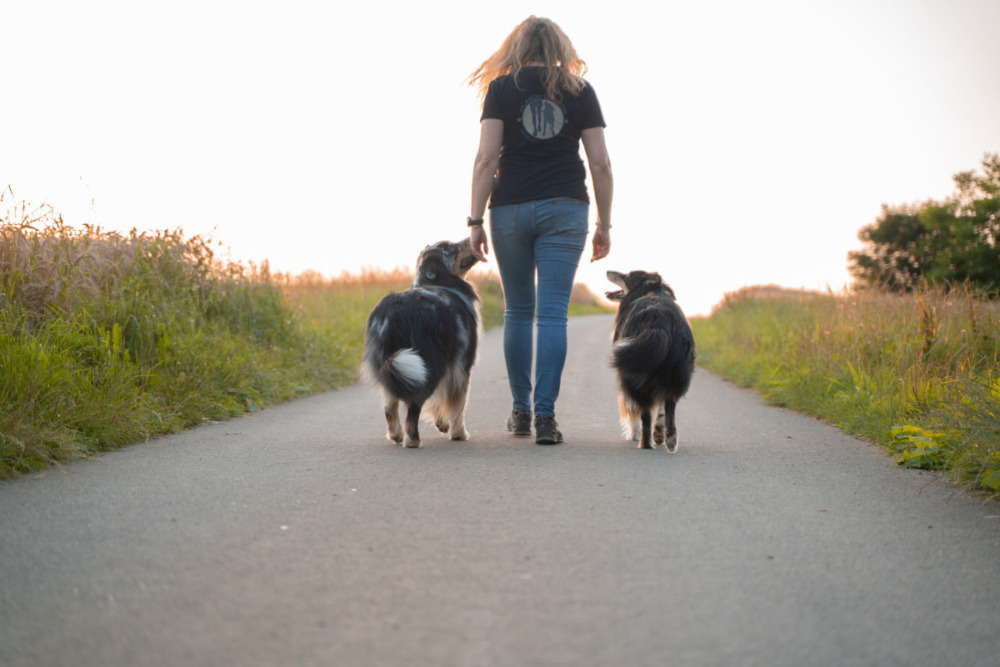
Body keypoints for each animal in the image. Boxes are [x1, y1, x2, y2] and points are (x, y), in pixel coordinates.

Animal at [362, 239, 482, 448]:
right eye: (450, 247)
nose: (470, 238)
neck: (438, 282)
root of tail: (394, 310)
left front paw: (442, 424)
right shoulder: (461, 366)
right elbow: (458, 403)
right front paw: (458, 433)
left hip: (394, 366)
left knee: (389, 405)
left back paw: (396, 435)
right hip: (428, 365)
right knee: (414, 406)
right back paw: (412, 440)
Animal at [604, 268, 700, 452]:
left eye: (627, 275)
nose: (607, 271)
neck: (649, 291)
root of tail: (656, 320)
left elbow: (631, 408)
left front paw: (634, 433)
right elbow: (661, 409)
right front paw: (659, 435)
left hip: (635, 373)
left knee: (645, 412)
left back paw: (645, 443)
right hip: (675, 372)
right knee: (669, 406)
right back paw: (670, 440)